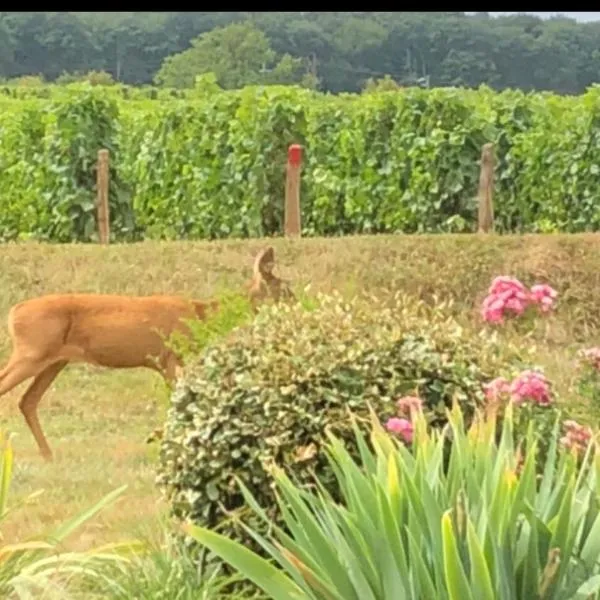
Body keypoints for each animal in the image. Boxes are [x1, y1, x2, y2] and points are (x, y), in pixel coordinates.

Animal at [0, 246, 292, 462]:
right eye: (287, 290)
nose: (298, 303)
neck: (201, 315)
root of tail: (14, 312)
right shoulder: (170, 357)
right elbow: (175, 398)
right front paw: (161, 440)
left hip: (55, 361)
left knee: (27, 401)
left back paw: (48, 455)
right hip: (31, 352)